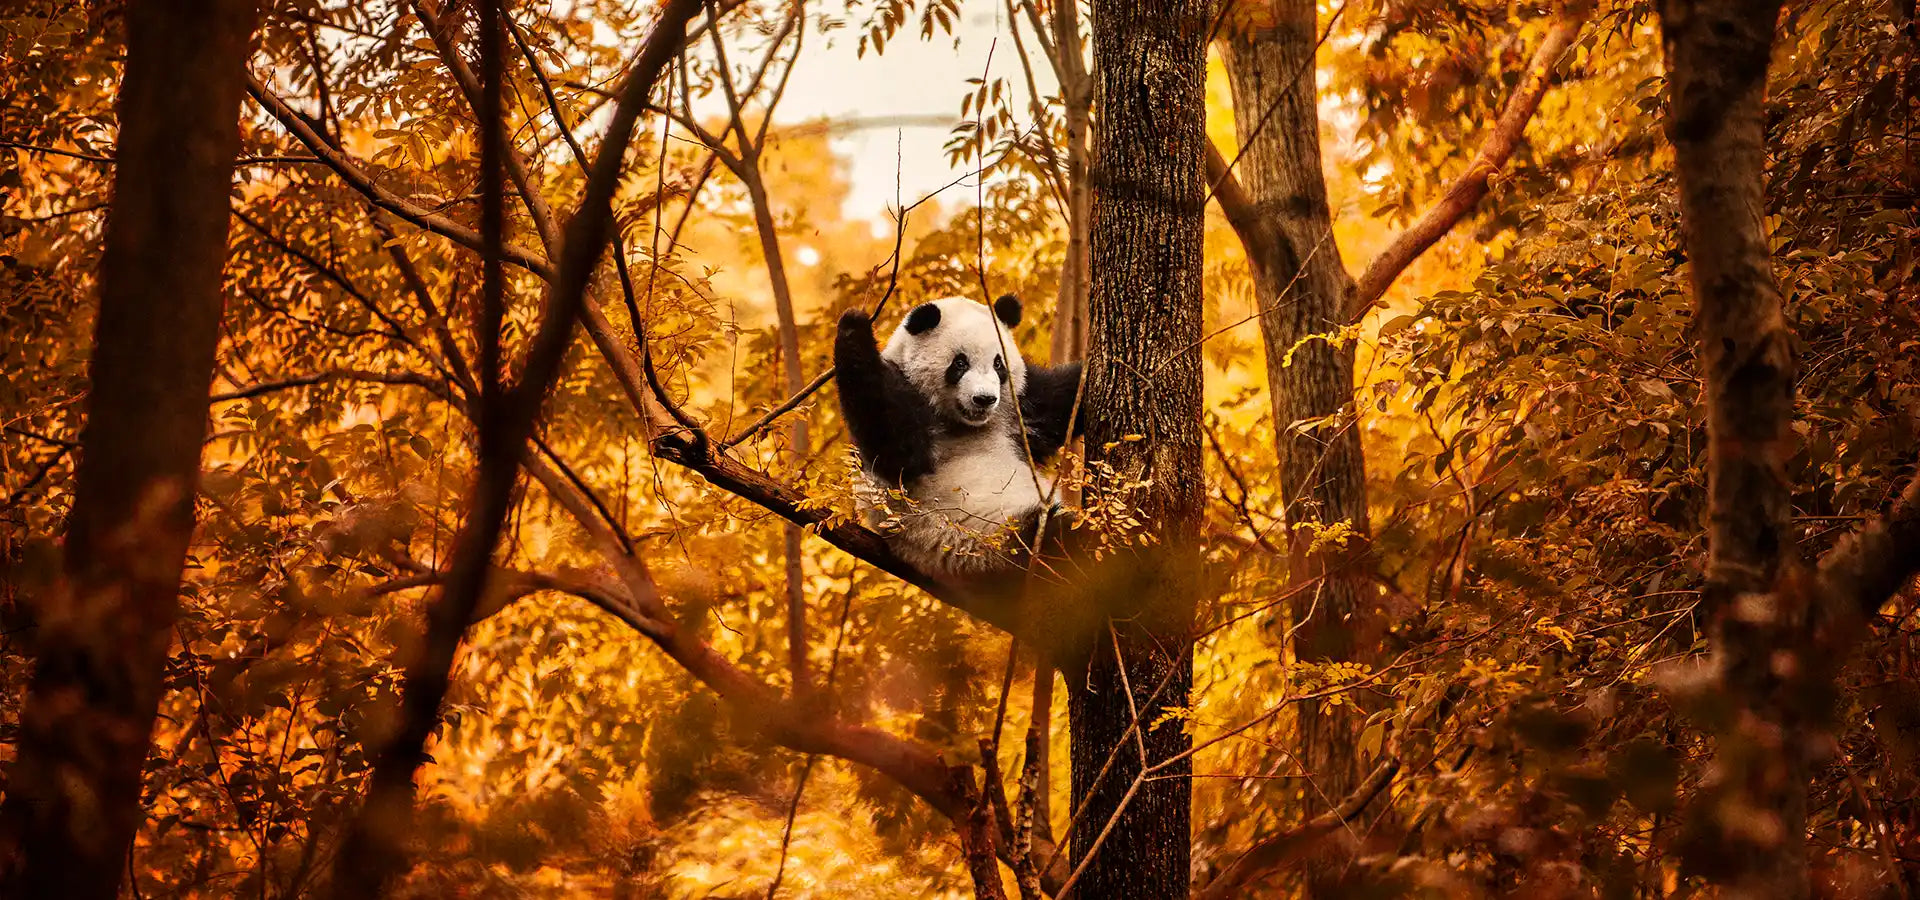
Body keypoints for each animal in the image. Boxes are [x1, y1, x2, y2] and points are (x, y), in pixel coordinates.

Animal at [834, 294, 1085, 585]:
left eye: (998, 364)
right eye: (960, 363)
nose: (984, 399)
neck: (967, 424)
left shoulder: (1019, 407)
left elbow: (1061, 401)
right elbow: (897, 452)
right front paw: (854, 323)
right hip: (989, 543)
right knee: (1058, 541)